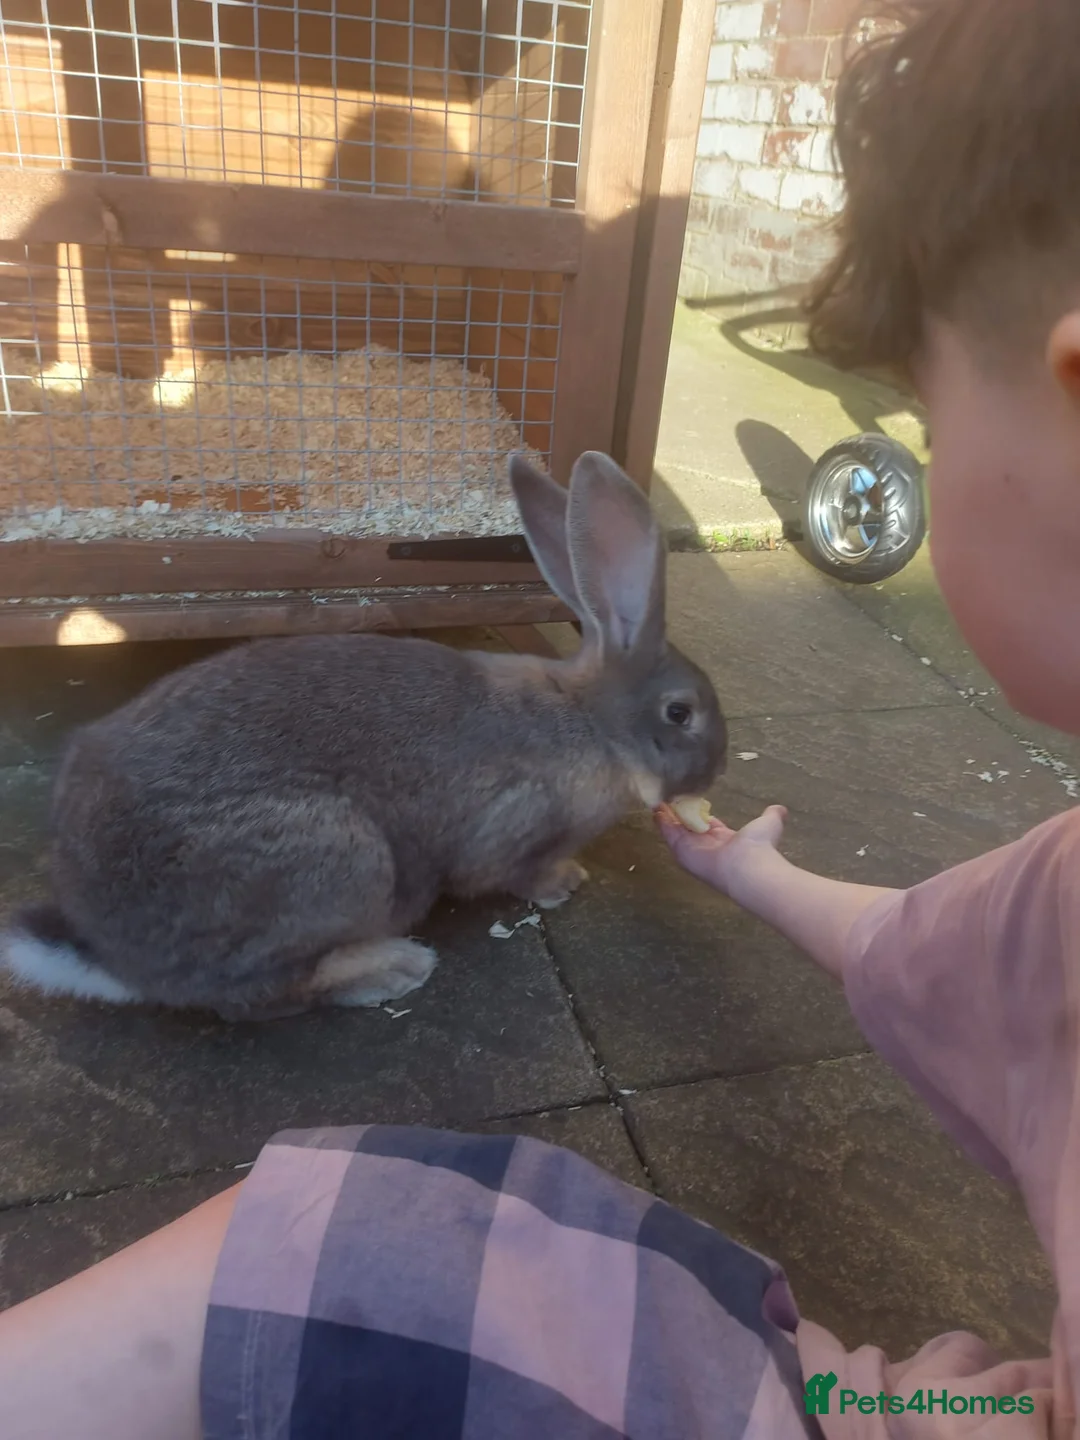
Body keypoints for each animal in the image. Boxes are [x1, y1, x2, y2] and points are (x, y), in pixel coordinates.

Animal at [0, 451, 727, 1022]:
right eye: (680, 713)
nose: (715, 772)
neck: (590, 721)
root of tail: (110, 950)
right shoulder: (516, 826)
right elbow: (514, 872)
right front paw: (564, 882)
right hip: (343, 861)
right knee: (258, 996)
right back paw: (393, 967)